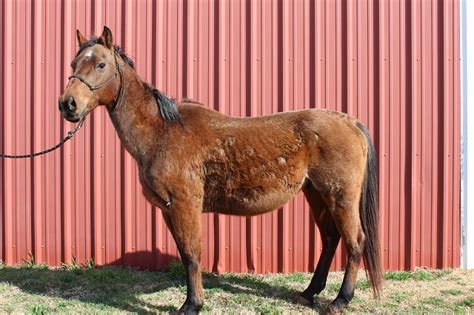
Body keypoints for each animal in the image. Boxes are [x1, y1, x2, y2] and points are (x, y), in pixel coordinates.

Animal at [58, 26, 382, 314]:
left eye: (101, 64)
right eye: (74, 63)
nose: (67, 104)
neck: (162, 131)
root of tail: (350, 122)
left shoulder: (185, 205)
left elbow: (192, 254)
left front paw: (192, 305)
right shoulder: (169, 210)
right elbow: (185, 254)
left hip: (340, 197)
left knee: (355, 242)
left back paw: (339, 301)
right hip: (316, 194)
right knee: (330, 239)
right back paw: (309, 293)